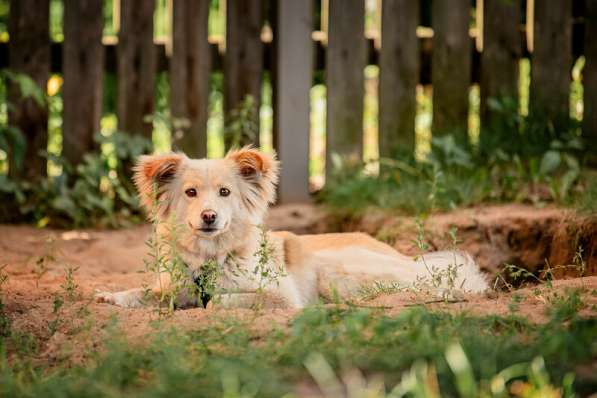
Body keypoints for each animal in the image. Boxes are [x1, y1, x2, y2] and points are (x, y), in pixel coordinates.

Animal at [95, 146, 488, 308]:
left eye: (225, 192)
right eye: (191, 193)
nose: (209, 217)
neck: (211, 259)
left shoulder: (280, 294)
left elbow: (220, 300)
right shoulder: (172, 284)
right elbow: (150, 293)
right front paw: (114, 297)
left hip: (335, 270)